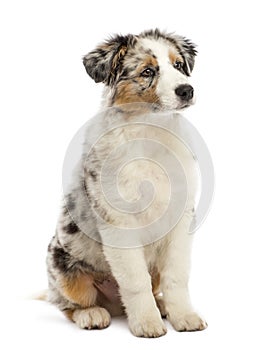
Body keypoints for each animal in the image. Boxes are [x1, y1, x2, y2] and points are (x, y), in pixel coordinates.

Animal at [46, 29, 206, 336]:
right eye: (147, 71)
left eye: (179, 65)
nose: (187, 90)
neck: (151, 131)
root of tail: (114, 305)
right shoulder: (119, 221)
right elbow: (135, 280)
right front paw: (146, 323)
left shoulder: (181, 217)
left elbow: (177, 276)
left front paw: (184, 316)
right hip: (62, 267)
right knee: (67, 303)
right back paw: (91, 314)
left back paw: (162, 306)